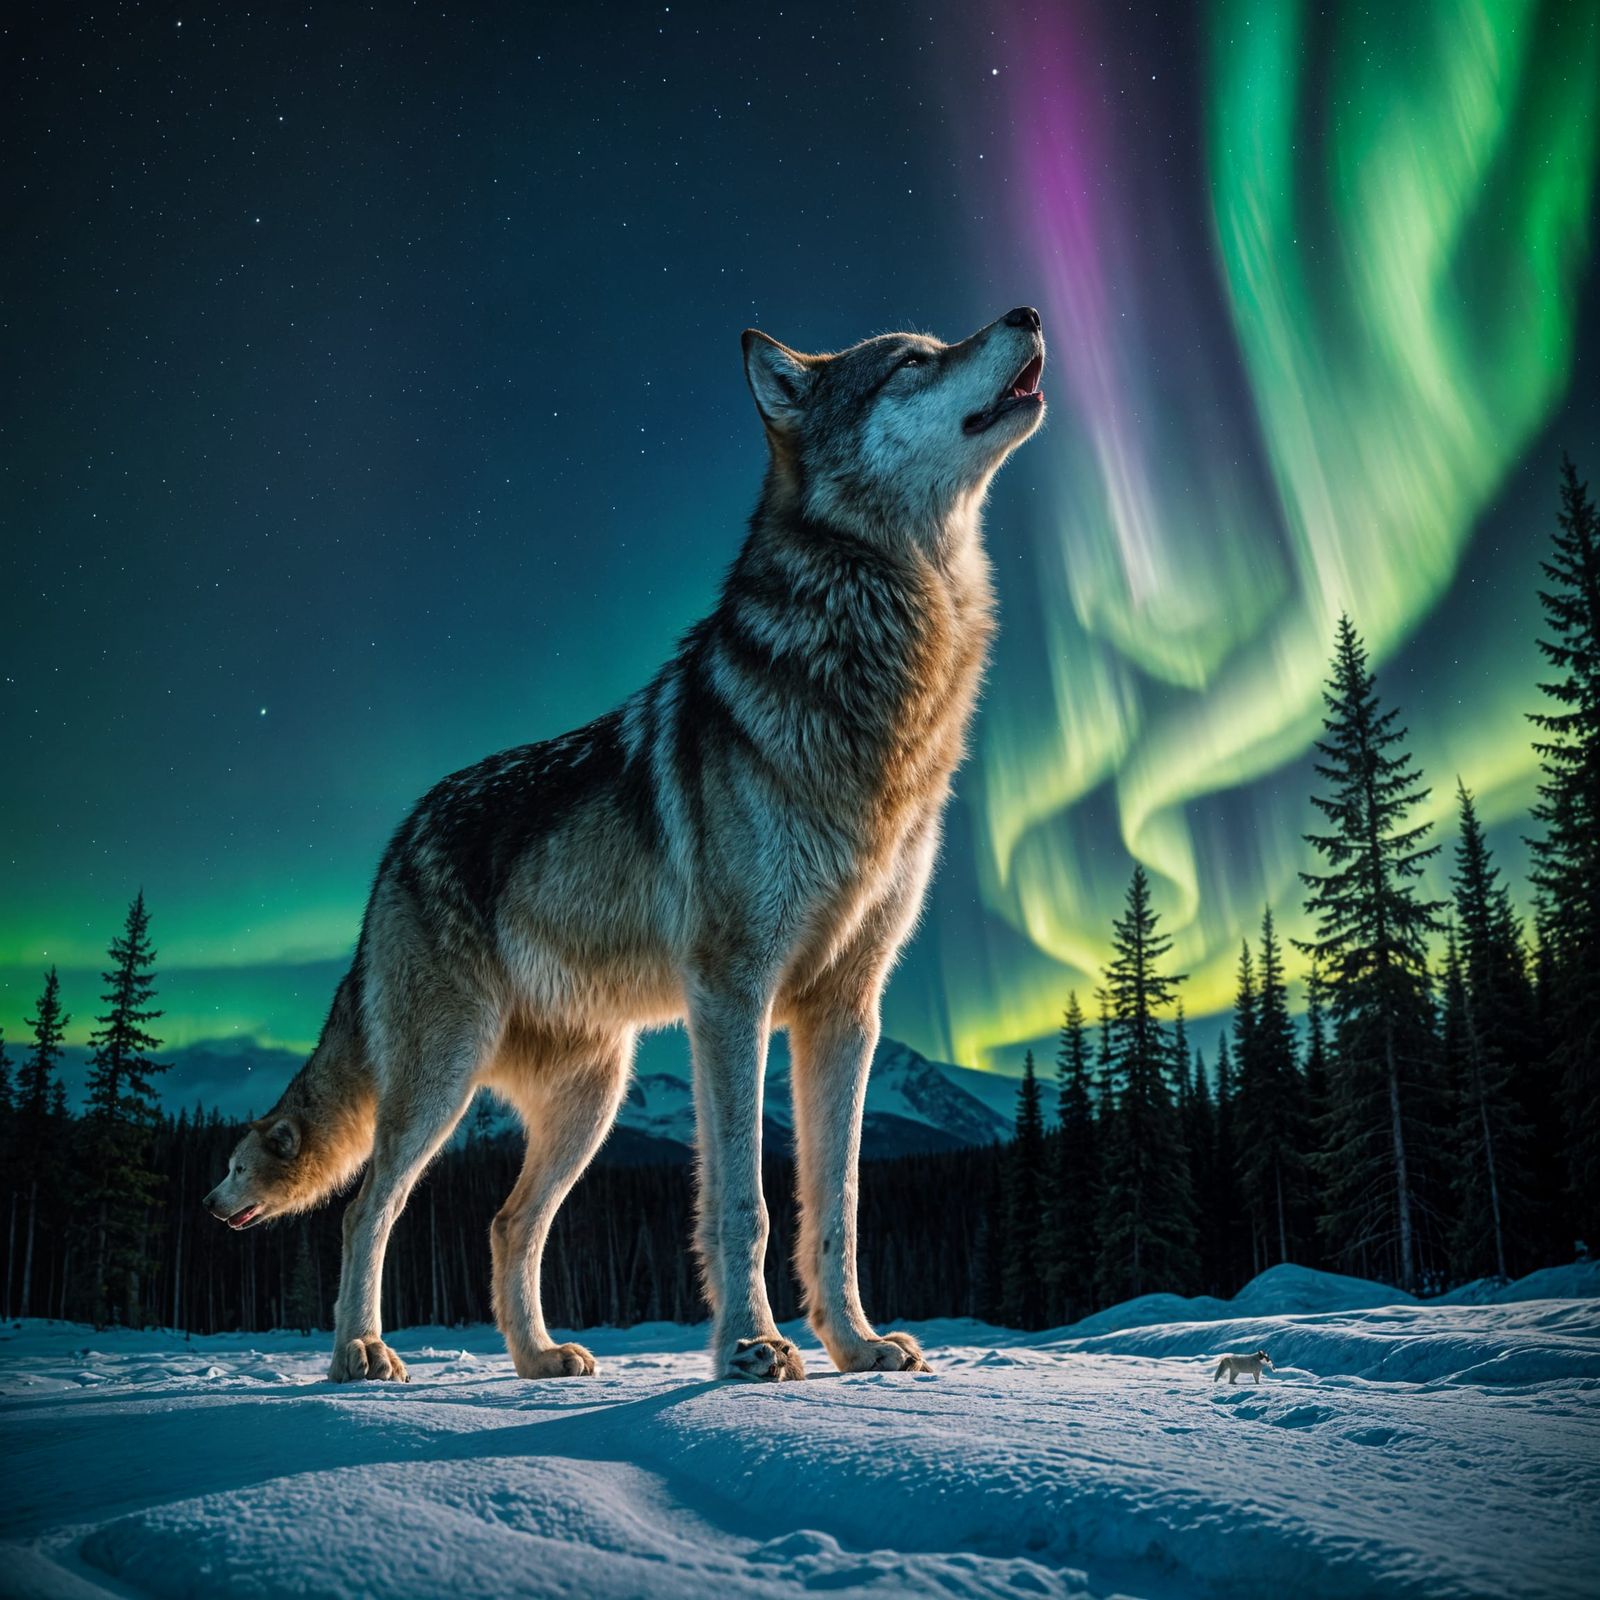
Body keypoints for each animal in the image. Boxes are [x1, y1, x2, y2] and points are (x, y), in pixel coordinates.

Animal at [203, 307, 1047, 1384]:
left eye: (937, 343)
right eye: (911, 360)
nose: (1025, 314)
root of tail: (395, 843)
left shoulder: (847, 1008)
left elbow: (838, 1206)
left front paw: (855, 1346)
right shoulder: (732, 993)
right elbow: (743, 1201)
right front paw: (751, 1347)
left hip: (592, 1101)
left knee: (507, 1222)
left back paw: (537, 1358)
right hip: (442, 1085)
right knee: (367, 1210)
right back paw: (361, 1354)